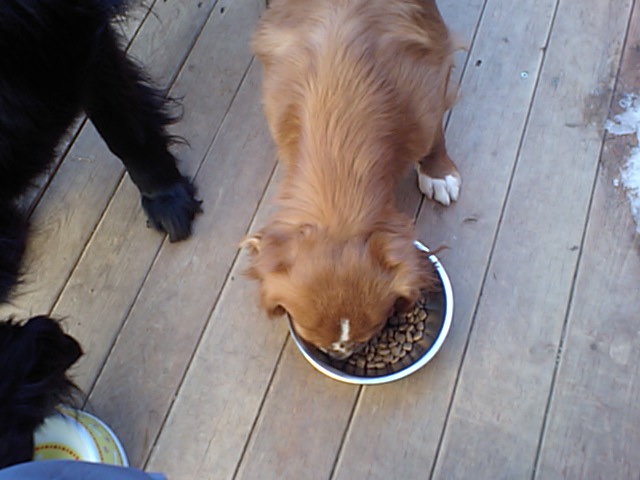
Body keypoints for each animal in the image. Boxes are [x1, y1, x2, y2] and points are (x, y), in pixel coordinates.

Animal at [244, 0, 460, 359]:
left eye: (369, 334)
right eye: (314, 337)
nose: (340, 355)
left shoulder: (430, 85)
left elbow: (434, 137)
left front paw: (438, 172)